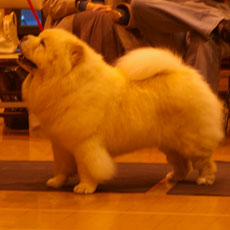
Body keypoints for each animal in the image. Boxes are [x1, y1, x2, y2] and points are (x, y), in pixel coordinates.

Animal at [18, 28, 223, 194]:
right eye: (38, 37)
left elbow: (88, 167)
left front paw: (85, 187)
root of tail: (185, 72)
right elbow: (61, 166)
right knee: (182, 163)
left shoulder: (86, 144)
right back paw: (174, 177)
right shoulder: (61, 143)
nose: (25, 36)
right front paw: (56, 182)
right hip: (169, 142)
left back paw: (205, 179)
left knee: (204, 161)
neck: (68, 83)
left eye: (43, 43)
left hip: (192, 139)